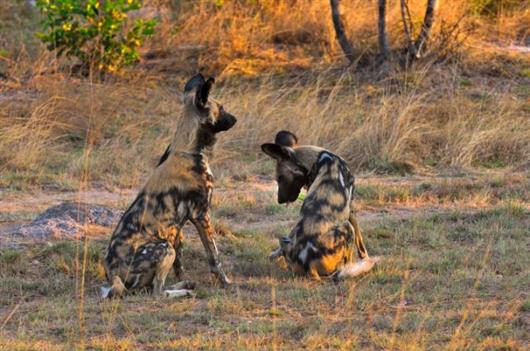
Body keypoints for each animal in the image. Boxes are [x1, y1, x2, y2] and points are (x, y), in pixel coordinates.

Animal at [101, 74, 235, 300]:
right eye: (222, 107)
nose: (235, 119)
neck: (189, 149)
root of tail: (112, 275)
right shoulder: (201, 215)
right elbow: (214, 257)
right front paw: (226, 283)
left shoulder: (177, 227)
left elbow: (179, 265)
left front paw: (185, 276)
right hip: (164, 248)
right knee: (157, 292)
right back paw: (183, 292)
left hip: (167, 246)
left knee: (154, 285)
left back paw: (186, 284)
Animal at [260, 131, 376, 282]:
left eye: (280, 178)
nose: (280, 200)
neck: (321, 159)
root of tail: (309, 266)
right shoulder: (350, 210)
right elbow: (361, 242)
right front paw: (365, 258)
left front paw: (273, 255)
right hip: (346, 228)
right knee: (343, 268)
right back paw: (356, 268)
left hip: (286, 239)